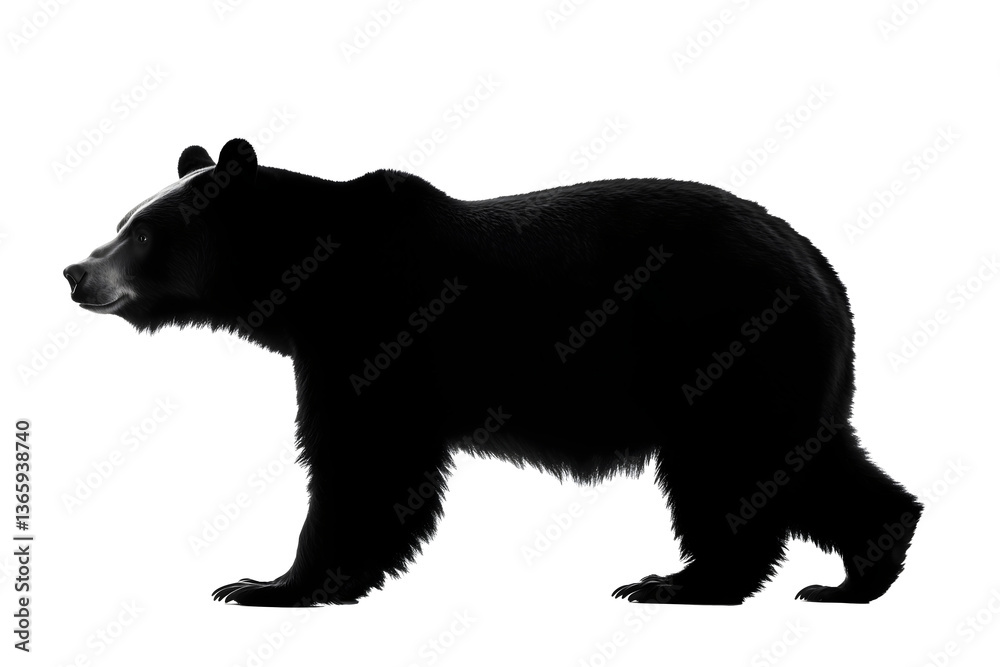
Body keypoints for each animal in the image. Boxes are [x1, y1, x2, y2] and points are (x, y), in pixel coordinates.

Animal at [64, 138, 921, 606]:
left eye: (144, 233)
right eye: (122, 220)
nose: (76, 272)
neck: (311, 282)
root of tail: (819, 265)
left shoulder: (380, 326)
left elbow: (362, 457)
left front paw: (272, 583)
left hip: (726, 342)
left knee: (743, 461)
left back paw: (709, 581)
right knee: (776, 465)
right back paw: (828, 573)